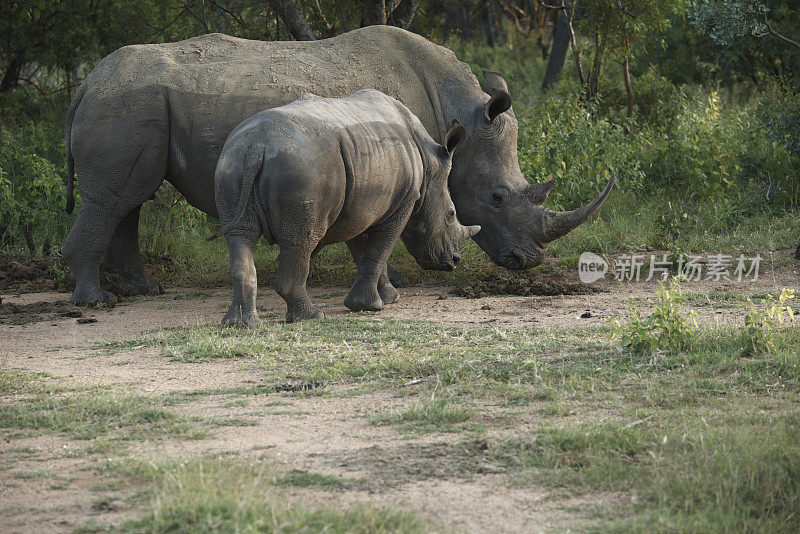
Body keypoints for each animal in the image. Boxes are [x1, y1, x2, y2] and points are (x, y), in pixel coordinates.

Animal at [214, 91, 476, 326]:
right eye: (451, 214)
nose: (455, 261)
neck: (429, 163)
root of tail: (257, 145)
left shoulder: (359, 205)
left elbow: (367, 251)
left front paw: (387, 298)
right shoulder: (405, 200)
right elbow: (381, 248)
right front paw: (372, 305)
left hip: (232, 162)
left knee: (239, 235)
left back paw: (240, 324)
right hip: (301, 169)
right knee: (301, 241)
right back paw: (313, 317)